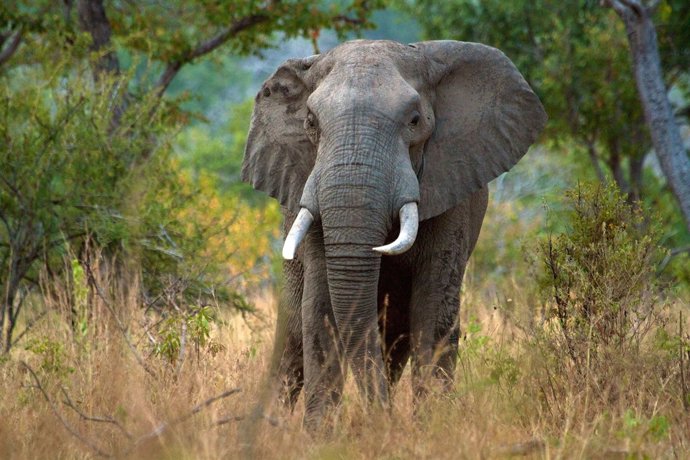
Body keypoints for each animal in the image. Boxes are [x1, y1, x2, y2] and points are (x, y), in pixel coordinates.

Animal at [241, 39, 546, 429]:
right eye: (310, 122)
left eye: (414, 121)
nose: (379, 418)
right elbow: (319, 311)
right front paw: (322, 434)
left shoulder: (452, 188)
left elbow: (433, 313)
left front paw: (430, 427)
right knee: (293, 337)